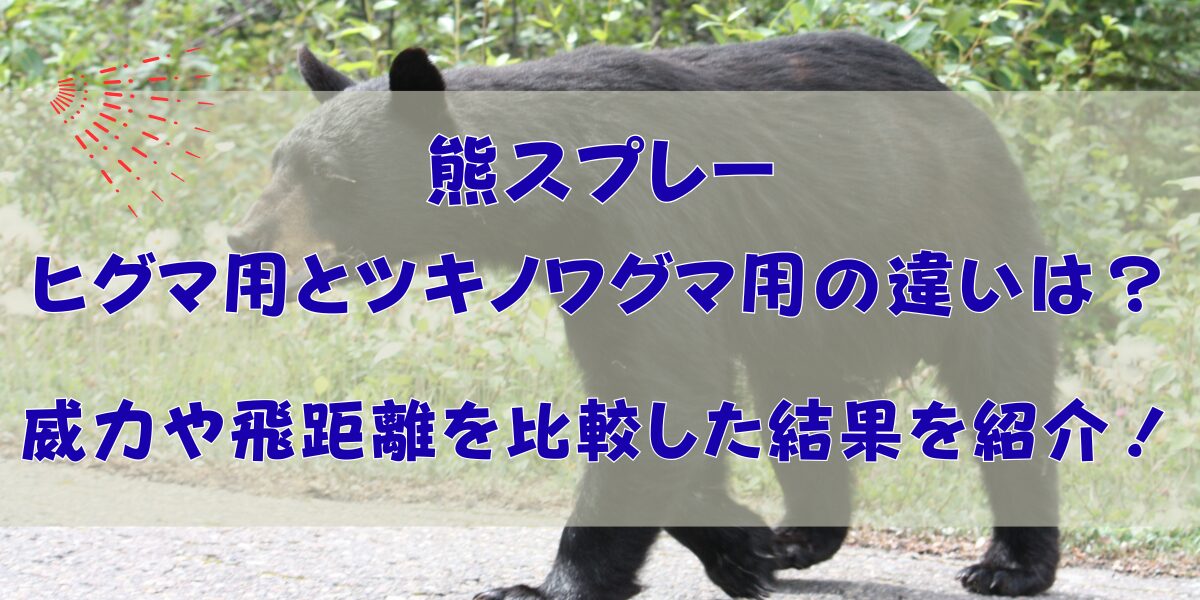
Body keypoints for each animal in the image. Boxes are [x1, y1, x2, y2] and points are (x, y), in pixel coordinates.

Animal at [229, 31, 1060, 599]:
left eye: (330, 177)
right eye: (278, 164)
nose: (244, 237)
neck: (552, 196)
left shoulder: (642, 225)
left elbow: (662, 382)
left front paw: (542, 585)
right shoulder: (587, 263)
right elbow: (662, 397)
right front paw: (740, 545)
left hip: (957, 232)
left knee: (1002, 380)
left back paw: (1009, 565)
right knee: (797, 396)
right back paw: (800, 537)